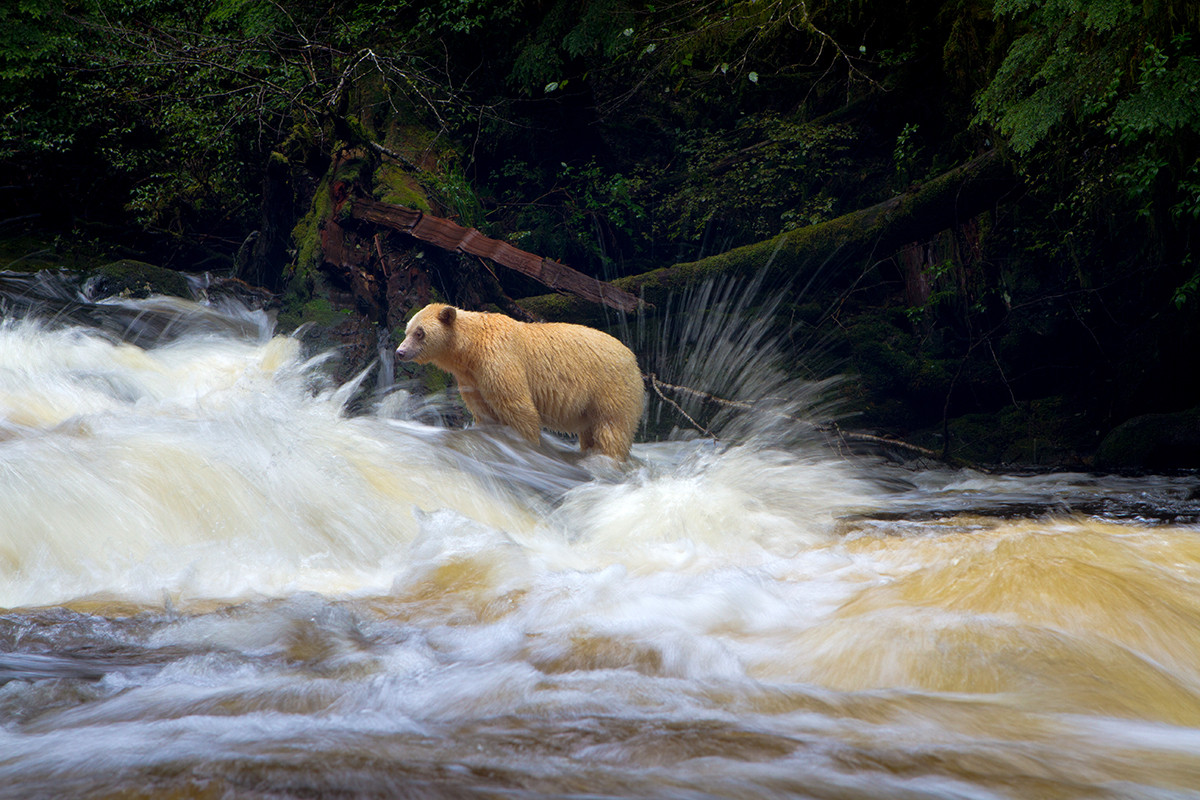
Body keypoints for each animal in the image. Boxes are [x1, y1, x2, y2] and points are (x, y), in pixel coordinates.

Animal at [395, 303, 645, 461]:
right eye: (407, 330)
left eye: (419, 333)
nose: (400, 352)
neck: (471, 349)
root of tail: (633, 357)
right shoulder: (471, 379)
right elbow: (484, 411)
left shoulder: (499, 360)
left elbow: (517, 407)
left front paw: (527, 446)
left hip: (610, 388)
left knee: (612, 429)